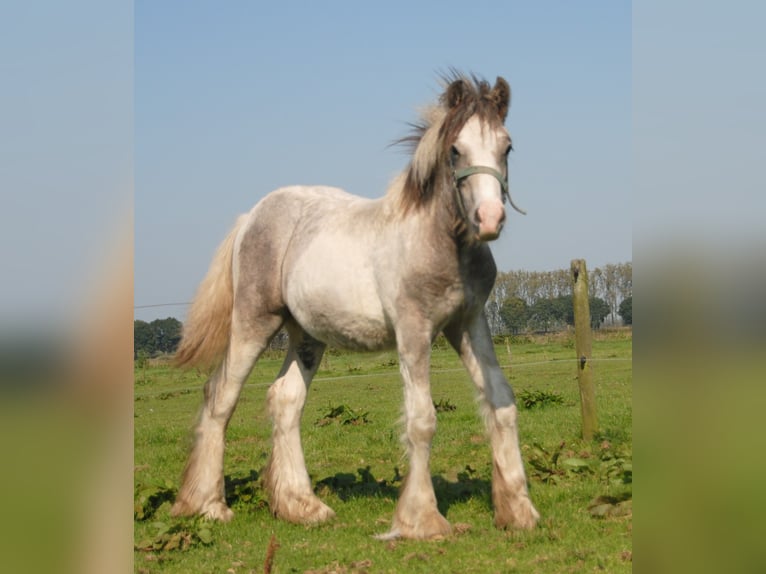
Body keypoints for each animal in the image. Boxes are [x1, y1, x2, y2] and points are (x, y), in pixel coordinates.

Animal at [170, 72, 540, 540]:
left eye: (506, 147)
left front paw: (518, 510)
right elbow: (422, 419)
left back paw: (302, 506)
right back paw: (208, 506)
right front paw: (421, 520)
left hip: (307, 335)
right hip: (255, 321)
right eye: (456, 149)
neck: (439, 242)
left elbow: (502, 401)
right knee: (221, 396)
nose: (489, 219)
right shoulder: (414, 329)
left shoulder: (469, 324)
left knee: (285, 400)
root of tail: (250, 216)